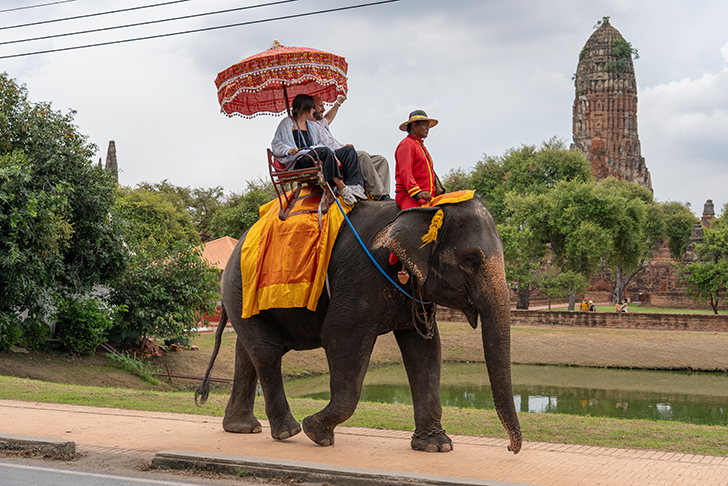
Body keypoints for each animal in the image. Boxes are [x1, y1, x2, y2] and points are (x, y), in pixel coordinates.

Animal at [196, 196, 520, 454]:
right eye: (471, 259)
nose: (510, 448)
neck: (420, 210)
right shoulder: (359, 277)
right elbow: (340, 336)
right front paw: (316, 432)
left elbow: (425, 349)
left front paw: (435, 446)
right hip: (240, 288)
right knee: (267, 352)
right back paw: (289, 431)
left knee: (248, 351)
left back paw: (242, 428)